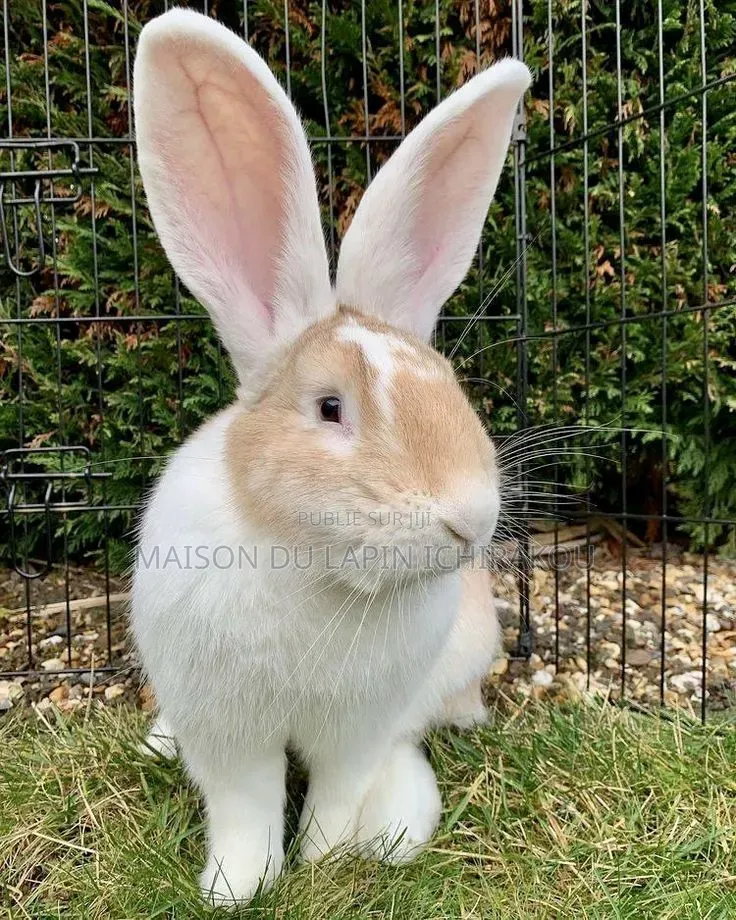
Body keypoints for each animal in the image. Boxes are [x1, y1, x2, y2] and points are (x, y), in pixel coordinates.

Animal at [131, 8, 530, 905]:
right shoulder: (226, 730)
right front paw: (235, 888)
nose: (471, 517)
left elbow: (341, 793)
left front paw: (330, 858)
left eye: (450, 387)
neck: (314, 569)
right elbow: (244, 809)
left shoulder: (361, 728)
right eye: (329, 409)